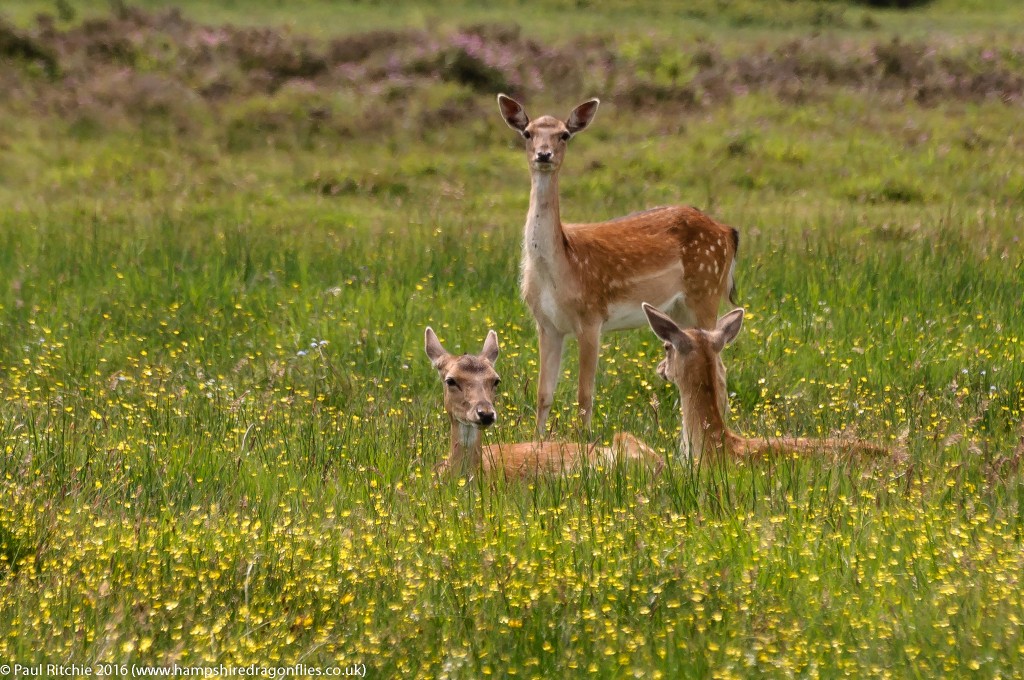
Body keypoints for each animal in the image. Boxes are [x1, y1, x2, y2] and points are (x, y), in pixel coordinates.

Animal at [495, 93, 737, 436]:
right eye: (527, 133)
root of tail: (728, 232)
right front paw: (538, 440)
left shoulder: (591, 316)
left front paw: (583, 440)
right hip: (680, 307)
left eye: (564, 135)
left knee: (719, 365)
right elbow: (543, 394)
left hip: (706, 290)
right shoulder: (546, 323)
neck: (560, 268)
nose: (544, 154)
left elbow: (584, 394)